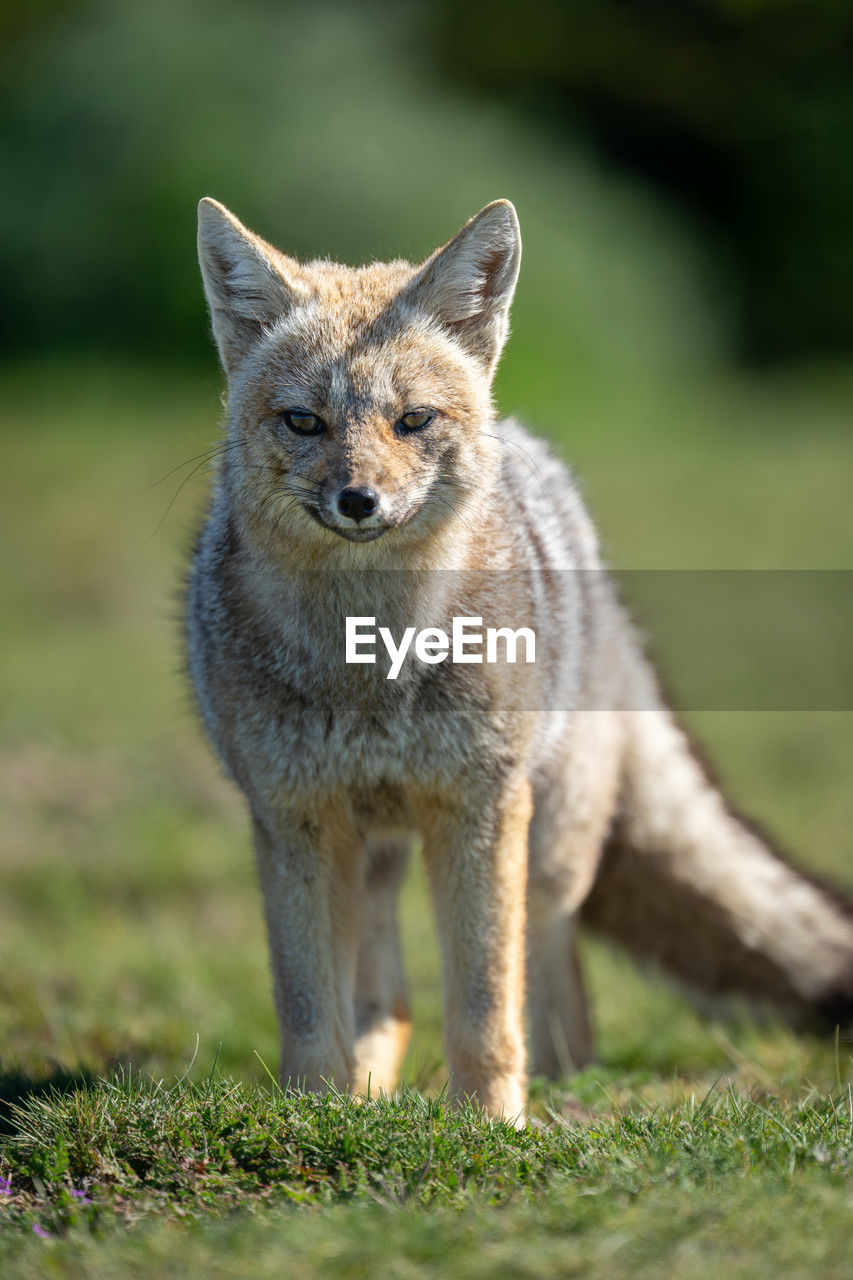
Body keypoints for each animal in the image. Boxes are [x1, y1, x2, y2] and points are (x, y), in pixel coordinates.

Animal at [188, 192, 850, 1121]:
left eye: (412, 420)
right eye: (304, 421)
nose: (358, 500)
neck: (370, 661)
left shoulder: (479, 805)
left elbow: (483, 1004)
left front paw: (487, 1124)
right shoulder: (294, 819)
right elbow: (310, 1010)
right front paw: (314, 1116)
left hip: (550, 847)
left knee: (551, 977)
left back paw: (564, 1084)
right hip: (376, 853)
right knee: (387, 998)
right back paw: (369, 1092)